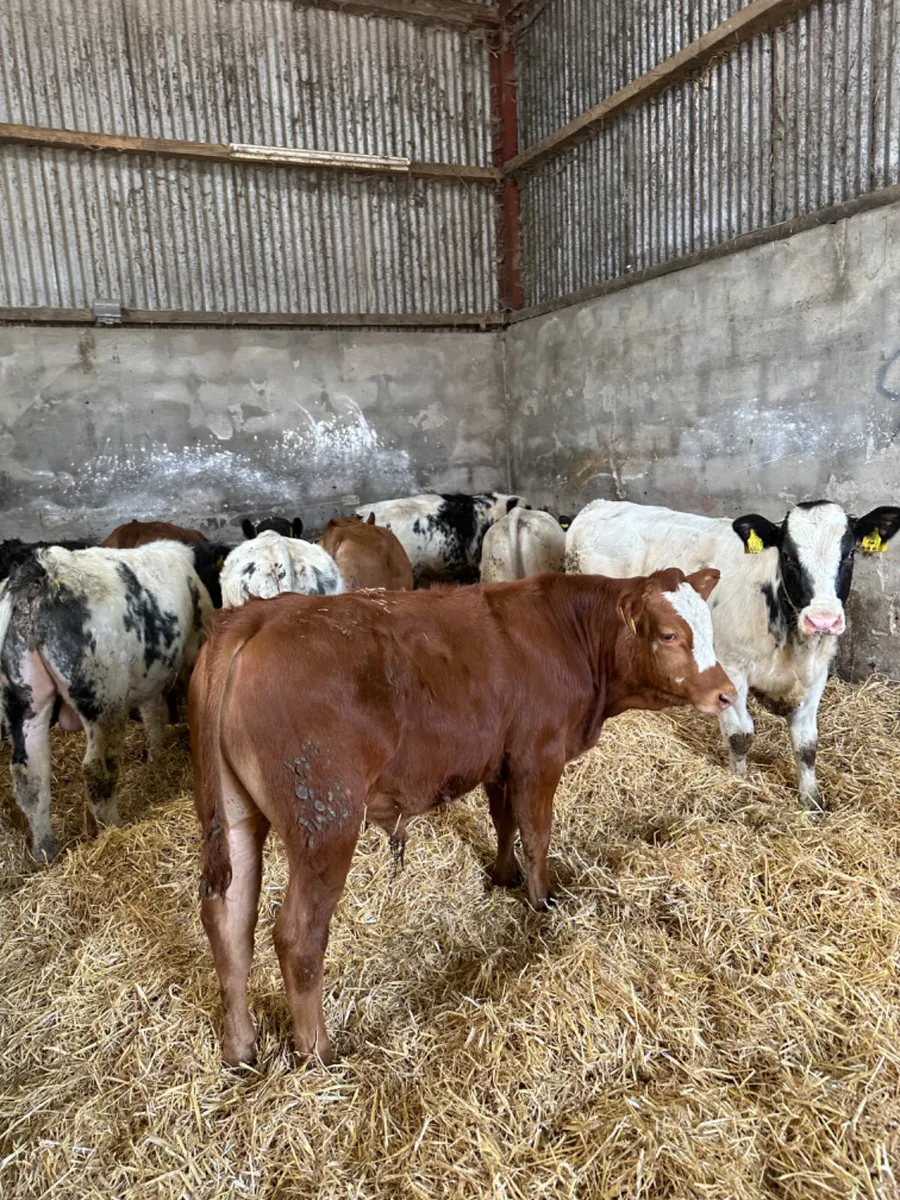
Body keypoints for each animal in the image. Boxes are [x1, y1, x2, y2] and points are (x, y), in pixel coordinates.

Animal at [0, 541, 227, 862]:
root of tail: (40, 572)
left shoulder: (150, 675)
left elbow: (153, 713)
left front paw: (156, 756)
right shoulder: (192, 653)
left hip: (23, 700)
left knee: (29, 776)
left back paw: (45, 851)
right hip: (102, 697)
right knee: (97, 769)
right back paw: (112, 827)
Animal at [190, 567, 735, 1065]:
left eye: (710, 624)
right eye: (669, 634)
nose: (727, 692)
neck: (566, 633)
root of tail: (260, 616)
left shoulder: (502, 760)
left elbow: (505, 822)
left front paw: (504, 876)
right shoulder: (539, 756)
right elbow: (537, 833)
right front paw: (543, 901)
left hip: (235, 817)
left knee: (228, 921)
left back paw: (240, 1048)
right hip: (325, 823)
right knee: (297, 936)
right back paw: (319, 1051)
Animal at [565, 498, 900, 809]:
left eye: (850, 554)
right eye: (788, 556)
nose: (823, 620)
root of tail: (597, 505)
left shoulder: (817, 673)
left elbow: (806, 744)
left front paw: (811, 800)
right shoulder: (733, 668)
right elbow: (741, 735)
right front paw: (741, 781)